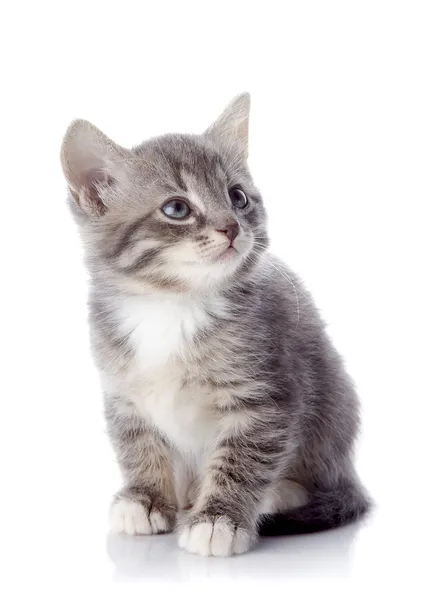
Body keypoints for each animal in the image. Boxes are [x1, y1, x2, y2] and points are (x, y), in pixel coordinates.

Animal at [60, 94, 370, 556]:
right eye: (176, 208)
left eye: (237, 196)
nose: (231, 226)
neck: (172, 304)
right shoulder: (123, 393)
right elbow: (137, 445)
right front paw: (145, 498)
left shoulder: (263, 396)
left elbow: (243, 457)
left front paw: (219, 519)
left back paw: (277, 495)